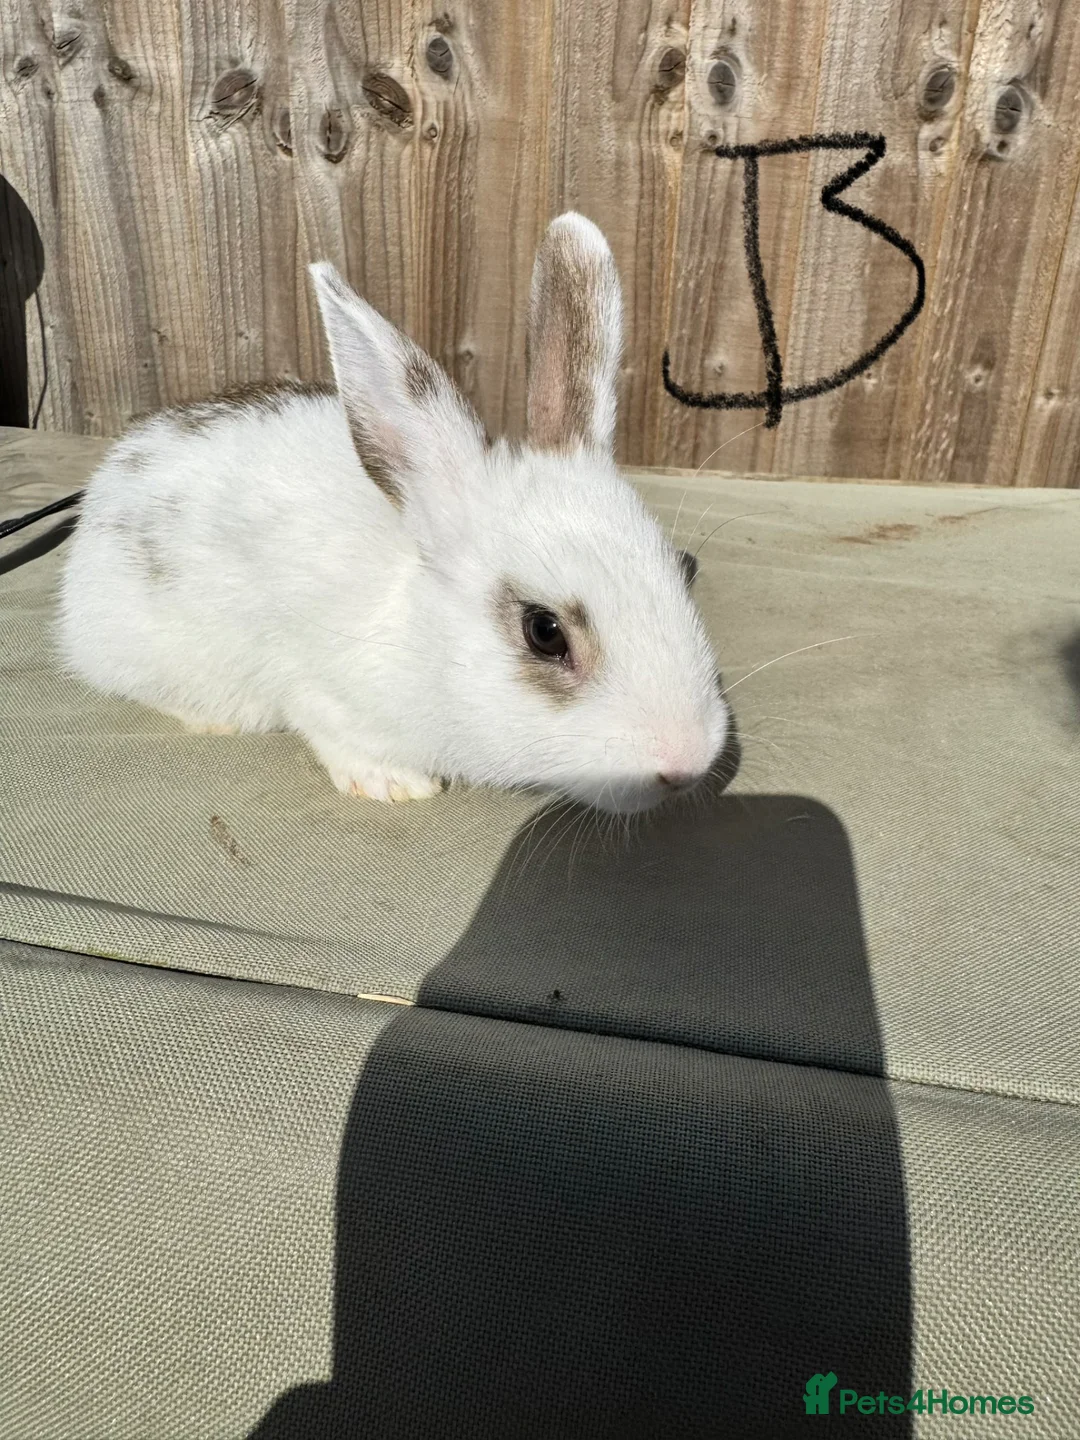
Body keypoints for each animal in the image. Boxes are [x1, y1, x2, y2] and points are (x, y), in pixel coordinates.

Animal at [56, 213, 730, 815]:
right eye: (544, 631)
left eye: (682, 571)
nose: (687, 764)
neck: (417, 628)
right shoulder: (315, 684)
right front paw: (396, 784)